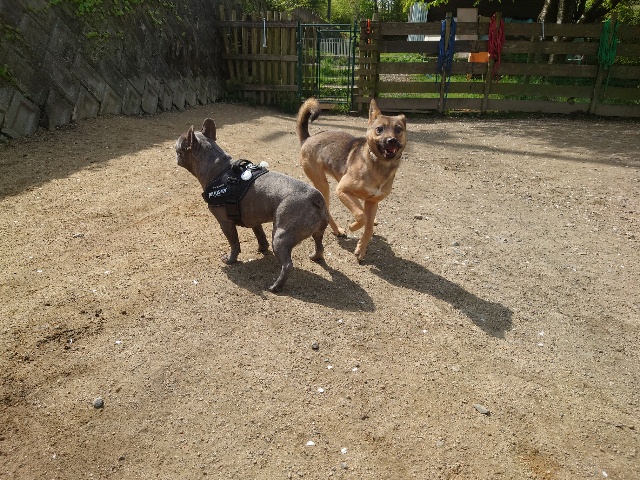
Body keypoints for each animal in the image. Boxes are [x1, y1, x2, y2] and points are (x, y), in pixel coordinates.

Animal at [175, 118, 328, 293]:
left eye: (179, 147)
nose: (175, 152)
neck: (219, 170)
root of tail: (315, 197)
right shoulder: (255, 219)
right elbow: (259, 234)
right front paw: (262, 249)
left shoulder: (225, 223)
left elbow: (234, 243)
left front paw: (230, 260)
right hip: (316, 231)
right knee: (319, 244)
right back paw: (315, 257)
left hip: (281, 237)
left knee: (287, 265)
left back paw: (276, 286)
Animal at [297, 98, 407, 262]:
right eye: (379, 129)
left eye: (398, 129)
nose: (391, 140)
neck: (378, 164)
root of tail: (307, 138)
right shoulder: (342, 190)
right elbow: (361, 216)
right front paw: (353, 226)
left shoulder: (372, 201)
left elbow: (368, 226)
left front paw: (361, 249)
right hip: (323, 185)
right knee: (329, 211)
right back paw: (338, 229)